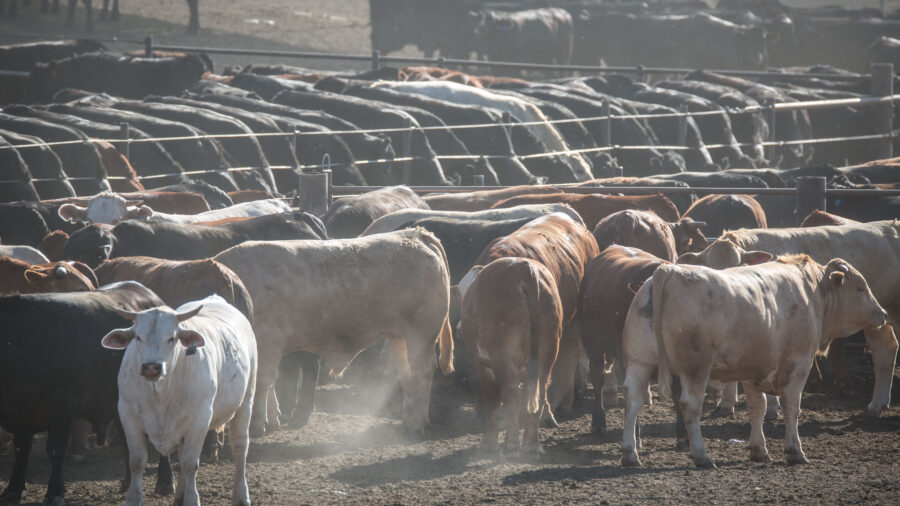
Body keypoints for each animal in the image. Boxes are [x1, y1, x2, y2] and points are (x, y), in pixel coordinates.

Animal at [0, 282, 164, 505]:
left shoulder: (63, 407)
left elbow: (56, 449)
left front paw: (55, 492)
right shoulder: (21, 412)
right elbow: (22, 448)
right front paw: (13, 488)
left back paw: (165, 483)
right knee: (129, 441)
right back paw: (128, 482)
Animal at [102, 296, 255, 506]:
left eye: (171, 338)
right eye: (138, 337)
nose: (151, 367)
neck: (160, 393)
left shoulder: (200, 420)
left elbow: (190, 464)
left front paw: (192, 499)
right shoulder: (127, 416)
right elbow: (137, 462)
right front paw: (133, 498)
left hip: (246, 402)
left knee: (240, 446)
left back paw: (241, 495)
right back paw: (180, 496)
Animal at [214, 228, 454, 436]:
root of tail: (417, 234)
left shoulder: (269, 341)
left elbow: (262, 383)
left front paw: (257, 424)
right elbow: (269, 384)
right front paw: (273, 418)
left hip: (421, 334)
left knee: (422, 371)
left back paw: (415, 424)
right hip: (399, 336)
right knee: (406, 373)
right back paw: (409, 420)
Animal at [460, 257, 562, 455]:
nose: (459, 328)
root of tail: (526, 270)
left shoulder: (483, 365)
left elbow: (492, 399)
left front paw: (489, 441)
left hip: (502, 356)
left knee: (511, 394)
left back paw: (511, 444)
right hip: (548, 353)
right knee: (539, 392)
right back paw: (531, 445)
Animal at [621, 256, 886, 467]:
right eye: (860, 288)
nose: (882, 313)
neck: (812, 292)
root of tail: (668, 271)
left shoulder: (751, 368)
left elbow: (757, 407)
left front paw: (759, 450)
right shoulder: (799, 363)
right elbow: (792, 406)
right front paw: (794, 451)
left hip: (639, 361)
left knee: (633, 400)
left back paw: (630, 453)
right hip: (696, 368)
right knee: (690, 405)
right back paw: (701, 455)